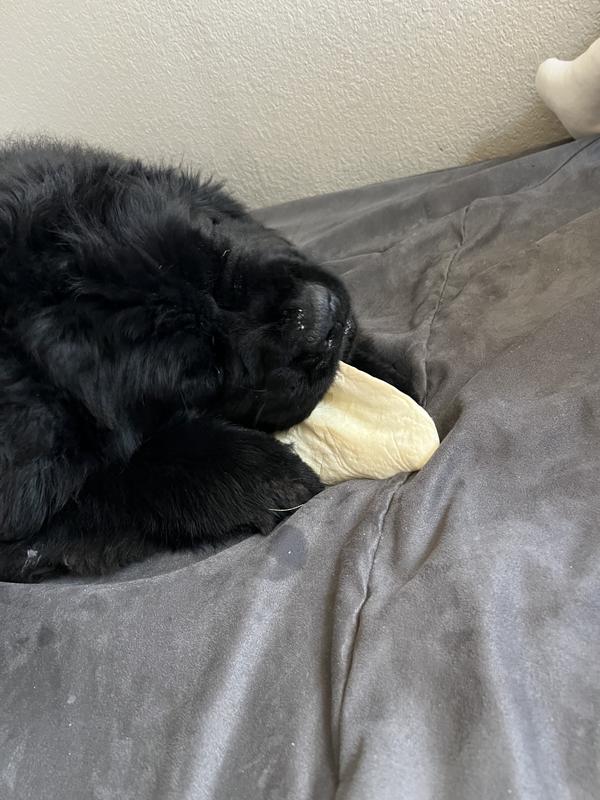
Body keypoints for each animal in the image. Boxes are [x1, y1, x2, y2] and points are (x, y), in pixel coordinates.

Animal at [0, 139, 413, 581]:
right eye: (209, 371)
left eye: (216, 244)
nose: (321, 318)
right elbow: (132, 472)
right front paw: (267, 474)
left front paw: (386, 376)